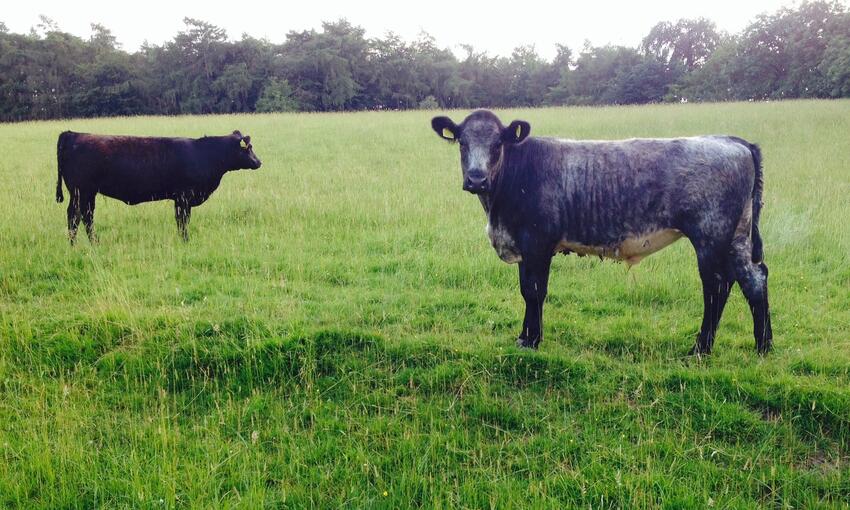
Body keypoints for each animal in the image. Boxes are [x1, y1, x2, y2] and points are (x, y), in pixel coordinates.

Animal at [56, 130, 261, 243]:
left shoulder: (181, 199)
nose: (259, 162)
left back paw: (83, 243)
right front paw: (185, 240)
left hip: (86, 194)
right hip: (81, 192)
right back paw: (83, 243)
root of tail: (73, 134)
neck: (203, 154)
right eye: (248, 148)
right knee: (78, 216)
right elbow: (183, 221)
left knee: (81, 216)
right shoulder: (183, 197)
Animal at [431, 110, 772, 355]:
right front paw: (526, 337)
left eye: (497, 144)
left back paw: (700, 348)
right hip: (737, 235)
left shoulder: (537, 242)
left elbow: (534, 291)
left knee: (716, 286)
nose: (476, 179)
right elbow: (528, 290)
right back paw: (763, 346)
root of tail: (733, 142)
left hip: (710, 235)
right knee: (754, 279)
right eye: (462, 142)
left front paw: (531, 340)